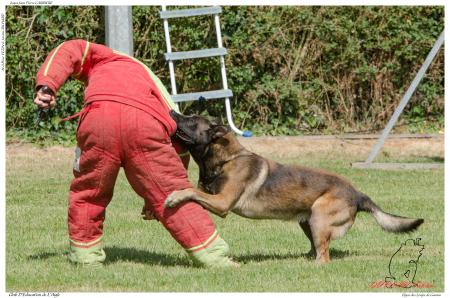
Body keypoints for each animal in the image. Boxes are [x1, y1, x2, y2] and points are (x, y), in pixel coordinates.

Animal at [164, 111, 422, 264]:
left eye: (191, 119)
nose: (172, 112)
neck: (225, 159)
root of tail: (359, 194)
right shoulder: (212, 196)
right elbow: (196, 190)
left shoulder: (222, 203)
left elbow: (191, 191)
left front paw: (174, 196)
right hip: (308, 222)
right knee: (316, 248)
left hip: (319, 217)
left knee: (324, 256)